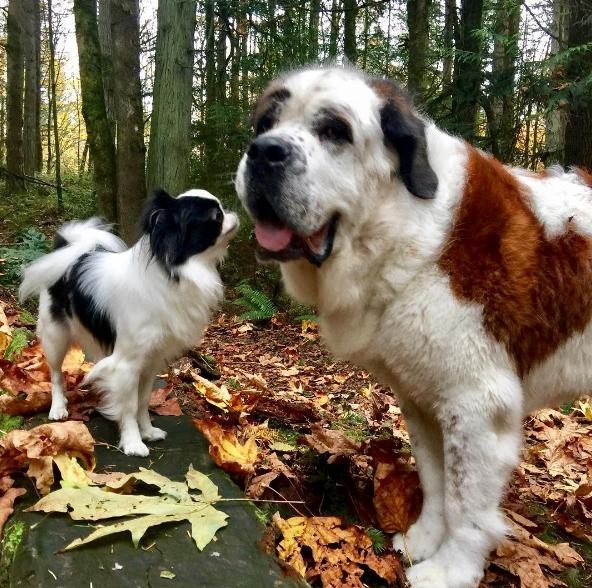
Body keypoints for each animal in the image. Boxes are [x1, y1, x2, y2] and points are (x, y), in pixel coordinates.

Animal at [20, 188, 238, 454]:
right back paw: (58, 407)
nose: (233, 213)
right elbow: (129, 405)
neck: (175, 272)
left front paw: (148, 431)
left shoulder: (150, 362)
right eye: (216, 217)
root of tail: (72, 250)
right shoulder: (127, 364)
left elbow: (142, 401)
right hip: (56, 336)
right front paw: (133, 442)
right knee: (56, 374)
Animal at [235, 65, 592, 588]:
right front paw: (424, 540)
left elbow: (465, 503)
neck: (406, 227)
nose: (264, 151)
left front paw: (450, 570)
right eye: (264, 125)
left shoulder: (476, 404)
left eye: (334, 131)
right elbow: (435, 479)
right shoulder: (422, 397)